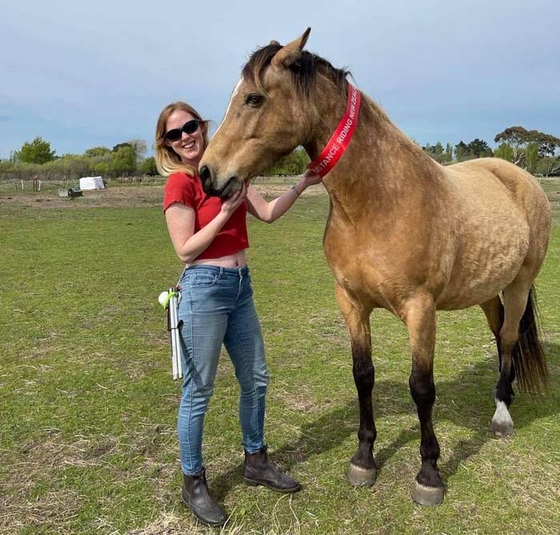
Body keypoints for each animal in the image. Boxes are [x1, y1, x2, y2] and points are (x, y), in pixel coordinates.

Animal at [198, 29, 552, 506]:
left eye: (253, 98)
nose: (207, 173)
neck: (380, 199)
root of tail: (519, 176)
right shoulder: (351, 302)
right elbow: (362, 375)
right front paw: (364, 458)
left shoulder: (420, 310)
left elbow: (422, 387)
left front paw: (429, 473)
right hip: (486, 291)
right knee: (499, 335)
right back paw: (506, 395)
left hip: (519, 283)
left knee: (511, 338)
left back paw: (501, 415)